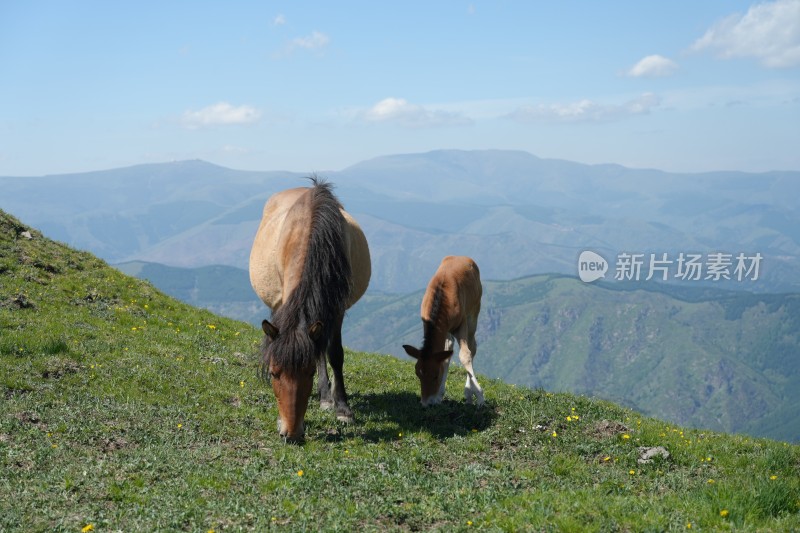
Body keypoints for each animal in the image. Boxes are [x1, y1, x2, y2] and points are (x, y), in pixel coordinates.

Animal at [250, 178, 372, 440]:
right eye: (274, 373)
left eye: (308, 373)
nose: (291, 433)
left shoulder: (336, 309)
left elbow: (334, 353)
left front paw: (343, 408)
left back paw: (327, 397)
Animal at [404, 256, 484, 406]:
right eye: (417, 373)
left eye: (436, 375)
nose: (426, 403)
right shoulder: (434, 325)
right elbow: (446, 354)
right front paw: (438, 396)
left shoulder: (461, 323)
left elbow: (465, 354)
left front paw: (479, 396)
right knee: (449, 350)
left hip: (474, 309)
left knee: (472, 346)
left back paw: (469, 393)